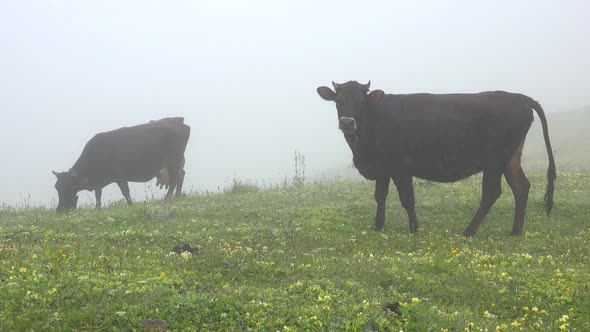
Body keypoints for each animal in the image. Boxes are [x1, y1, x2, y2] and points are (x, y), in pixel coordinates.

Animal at [53, 116, 191, 210]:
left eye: (69, 187)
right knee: (180, 177)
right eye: (57, 188)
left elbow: (126, 193)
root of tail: (178, 120)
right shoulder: (99, 181)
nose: (59, 210)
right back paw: (177, 197)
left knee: (174, 181)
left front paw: (131, 205)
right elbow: (98, 195)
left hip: (173, 162)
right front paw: (97, 208)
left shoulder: (120, 177)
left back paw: (167, 199)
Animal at [316, 80, 556, 236]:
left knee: (491, 192)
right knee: (521, 186)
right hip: (510, 158)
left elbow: (407, 199)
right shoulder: (383, 167)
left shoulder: (400, 167)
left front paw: (415, 229)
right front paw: (378, 226)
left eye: (361, 102)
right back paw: (515, 231)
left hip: (495, 160)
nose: (347, 122)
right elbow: (380, 196)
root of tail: (518, 97)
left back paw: (469, 231)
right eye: (338, 101)